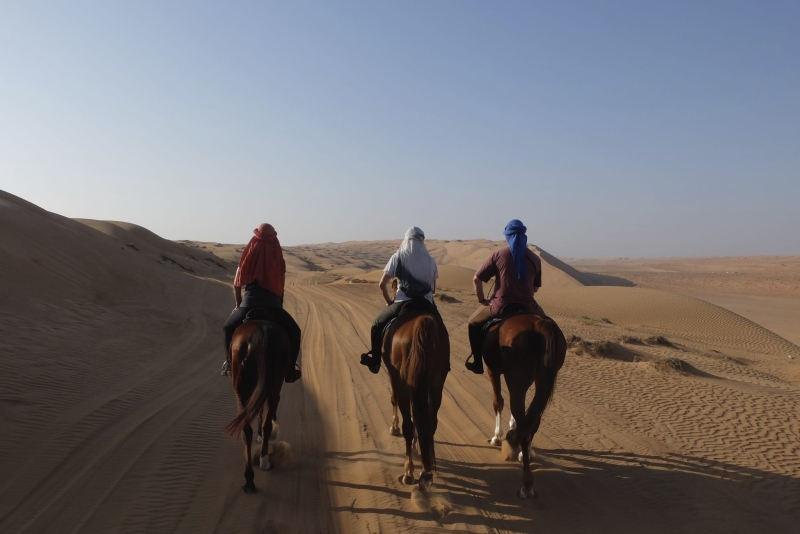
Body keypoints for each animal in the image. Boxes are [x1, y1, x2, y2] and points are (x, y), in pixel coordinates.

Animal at [223, 318, 290, 494]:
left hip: (242, 389)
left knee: (246, 429)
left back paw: (250, 477)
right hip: (271, 385)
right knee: (263, 423)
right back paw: (262, 461)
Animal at [382, 302, 450, 494]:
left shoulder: (394, 375)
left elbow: (393, 399)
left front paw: (394, 427)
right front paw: (416, 444)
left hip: (404, 381)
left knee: (408, 423)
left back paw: (409, 472)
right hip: (436, 383)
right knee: (431, 421)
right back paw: (426, 471)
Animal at [482, 312, 564, 500]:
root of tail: (542, 325)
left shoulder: (493, 370)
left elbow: (498, 401)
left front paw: (497, 437)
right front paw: (511, 428)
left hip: (517, 379)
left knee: (523, 422)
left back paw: (526, 485)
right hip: (543, 381)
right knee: (532, 421)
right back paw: (521, 453)